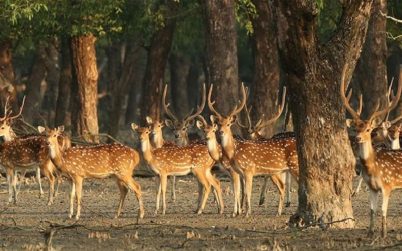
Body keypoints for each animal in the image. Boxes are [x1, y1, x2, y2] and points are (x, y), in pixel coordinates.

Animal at [207, 84, 298, 216]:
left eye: (228, 124)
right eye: (218, 124)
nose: (221, 132)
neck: (233, 153)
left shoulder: (248, 169)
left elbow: (246, 192)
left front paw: (245, 213)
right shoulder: (240, 172)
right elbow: (241, 191)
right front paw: (238, 212)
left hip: (293, 166)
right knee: (283, 186)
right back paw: (279, 211)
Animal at [340, 63, 402, 236]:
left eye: (368, 129)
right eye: (355, 128)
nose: (357, 138)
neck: (373, 168)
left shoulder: (387, 185)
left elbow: (383, 210)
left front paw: (384, 233)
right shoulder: (373, 188)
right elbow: (372, 210)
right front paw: (370, 232)